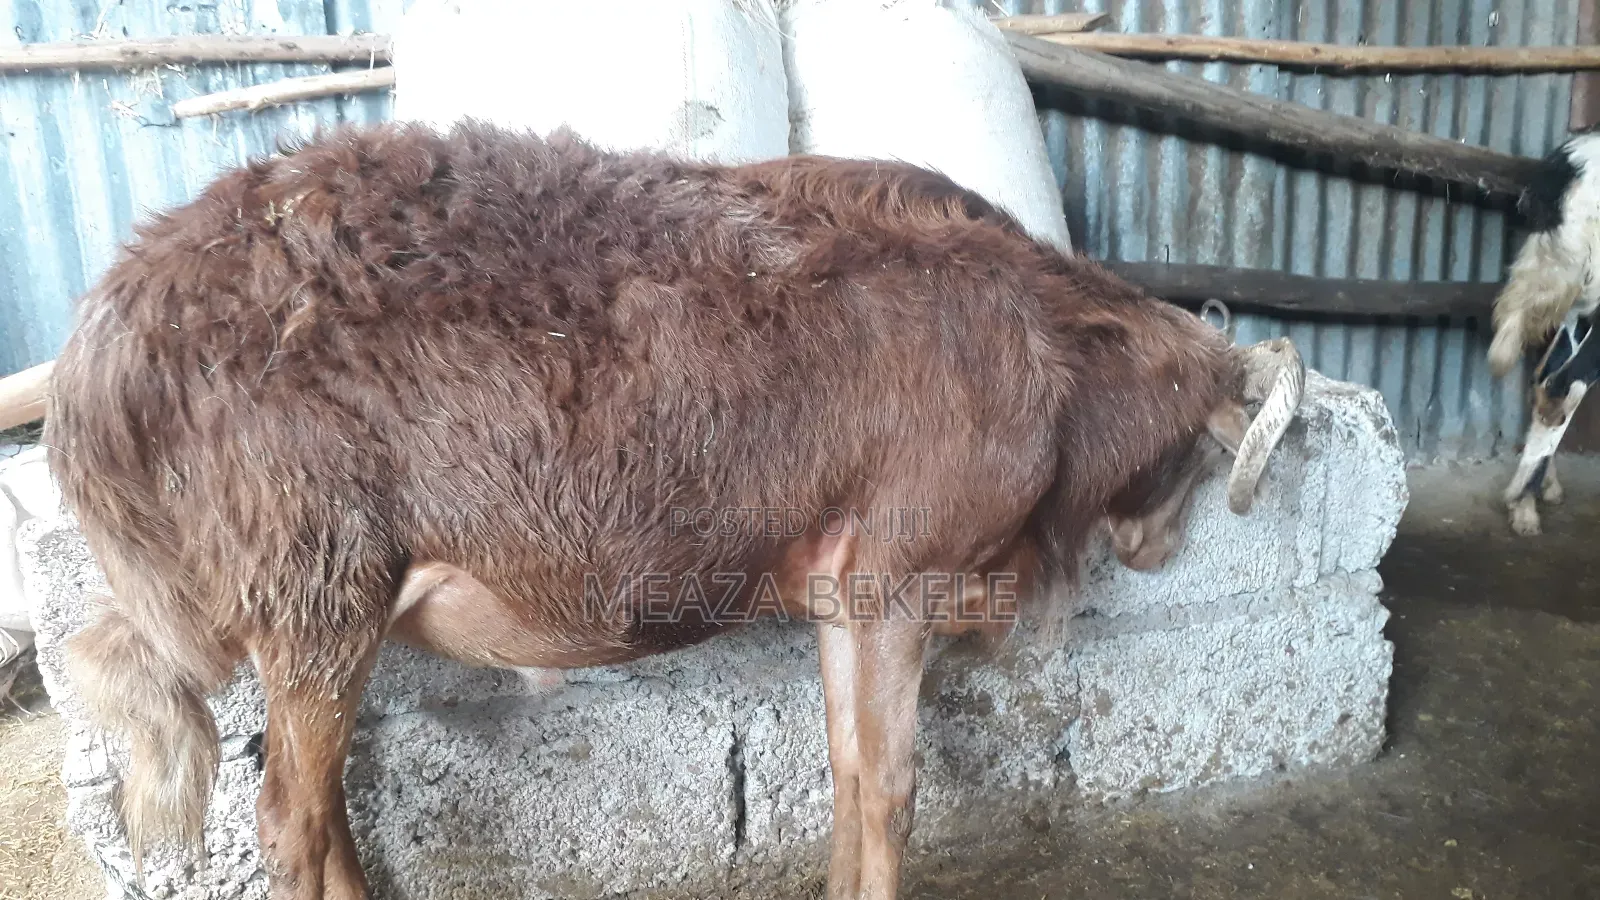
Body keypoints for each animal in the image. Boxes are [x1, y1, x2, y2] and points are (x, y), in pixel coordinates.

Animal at [48, 120, 1304, 900]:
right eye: (1198, 452)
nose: (1157, 550)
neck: (1050, 356)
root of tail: (110, 331)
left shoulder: (840, 591)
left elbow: (847, 772)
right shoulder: (895, 574)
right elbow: (890, 789)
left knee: (315, 811)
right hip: (315, 585)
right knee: (287, 826)